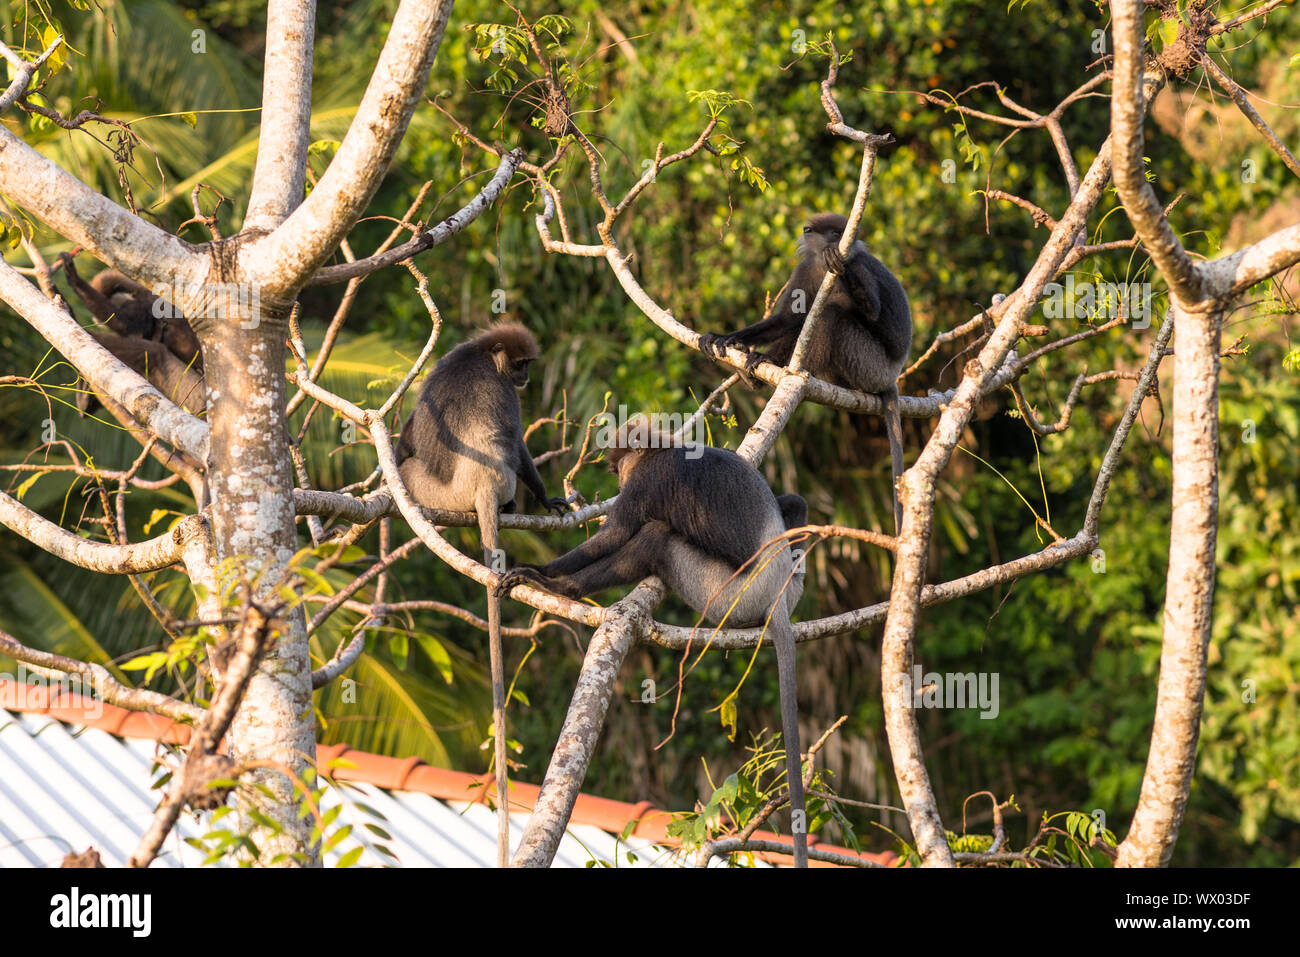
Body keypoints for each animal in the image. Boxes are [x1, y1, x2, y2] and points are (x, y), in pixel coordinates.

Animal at [390, 321, 564, 868]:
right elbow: (518, 444)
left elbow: (412, 432)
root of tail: (482, 487)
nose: (527, 377)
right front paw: (543, 494)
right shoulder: (503, 391)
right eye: (522, 366)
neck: (483, 355)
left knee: (408, 461)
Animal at [496, 416, 811, 868]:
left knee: (656, 536)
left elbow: (615, 535)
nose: (617, 478)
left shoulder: (649, 481)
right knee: (793, 501)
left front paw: (542, 575)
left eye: (617, 470)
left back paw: (566, 589)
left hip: (725, 593)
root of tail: (778, 596)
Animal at [702, 210, 915, 535]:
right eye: (834, 233)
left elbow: (870, 310)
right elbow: (787, 319)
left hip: (870, 366)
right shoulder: (805, 268)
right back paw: (757, 369)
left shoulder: (859, 264)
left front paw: (839, 263)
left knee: (832, 314)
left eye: (844, 234)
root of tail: (892, 375)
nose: (841, 244)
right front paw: (725, 338)